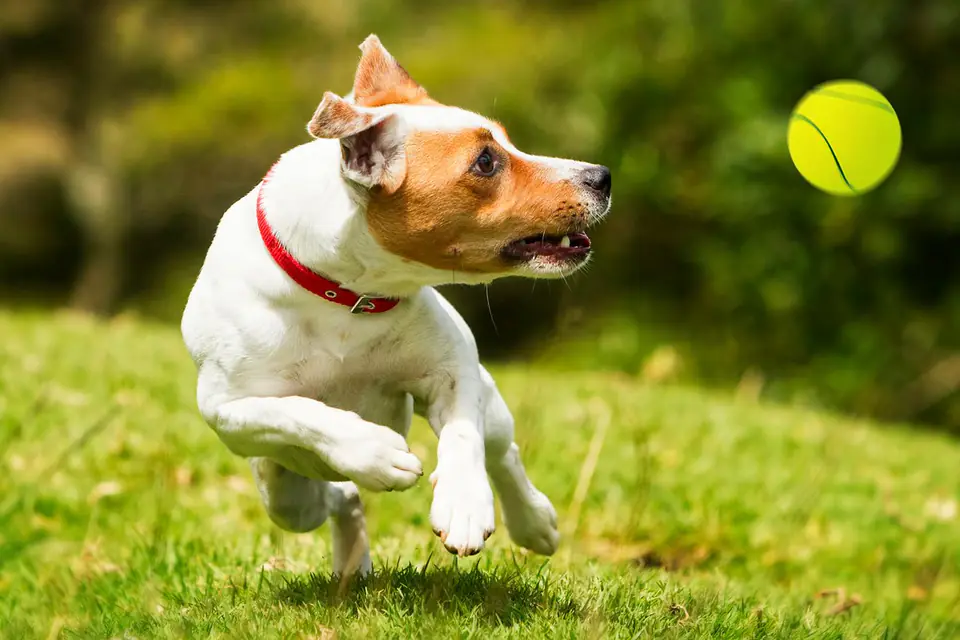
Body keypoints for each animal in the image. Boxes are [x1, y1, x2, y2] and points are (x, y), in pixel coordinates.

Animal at [184, 33, 612, 576]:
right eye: (485, 161)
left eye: (508, 142)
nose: (602, 176)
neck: (347, 295)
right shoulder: (226, 409)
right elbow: (297, 411)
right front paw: (373, 451)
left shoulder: (454, 367)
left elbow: (464, 436)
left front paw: (464, 504)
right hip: (286, 498)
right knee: (337, 498)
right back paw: (352, 563)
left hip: (491, 405)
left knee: (503, 451)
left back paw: (534, 521)